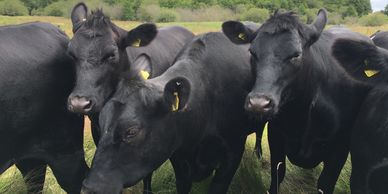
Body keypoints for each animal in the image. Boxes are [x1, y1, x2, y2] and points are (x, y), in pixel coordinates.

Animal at [223, 9, 372, 194]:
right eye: (252, 52)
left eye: (296, 55)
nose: (258, 103)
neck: (300, 113)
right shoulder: (276, 136)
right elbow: (277, 174)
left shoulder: (339, 151)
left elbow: (325, 184)